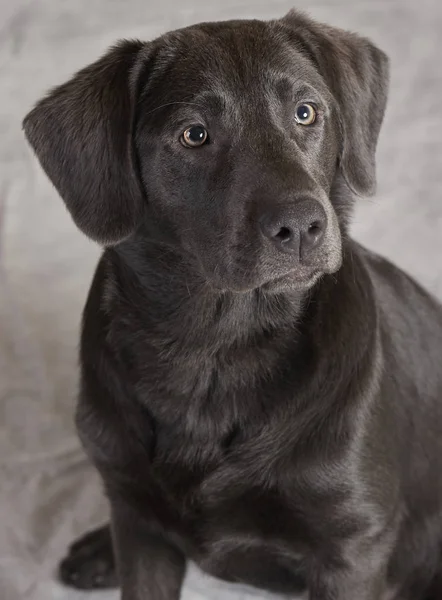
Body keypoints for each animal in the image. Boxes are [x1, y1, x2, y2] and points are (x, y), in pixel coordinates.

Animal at [22, 9, 442, 600]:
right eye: (194, 134)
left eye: (306, 112)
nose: (302, 225)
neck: (217, 350)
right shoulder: (140, 533)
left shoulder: (353, 549)